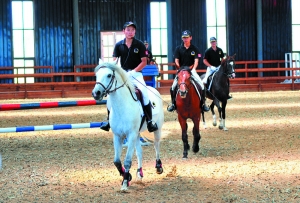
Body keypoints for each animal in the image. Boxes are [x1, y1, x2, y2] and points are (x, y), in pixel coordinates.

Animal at [92, 59, 164, 191]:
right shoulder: (118, 136)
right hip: (137, 134)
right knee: (140, 152)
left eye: (109, 75)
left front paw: (125, 183)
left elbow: (127, 161)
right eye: (97, 75)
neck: (122, 107)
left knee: (156, 145)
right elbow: (117, 161)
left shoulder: (130, 135)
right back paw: (139, 173)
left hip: (157, 129)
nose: (96, 93)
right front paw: (127, 176)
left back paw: (158, 167)